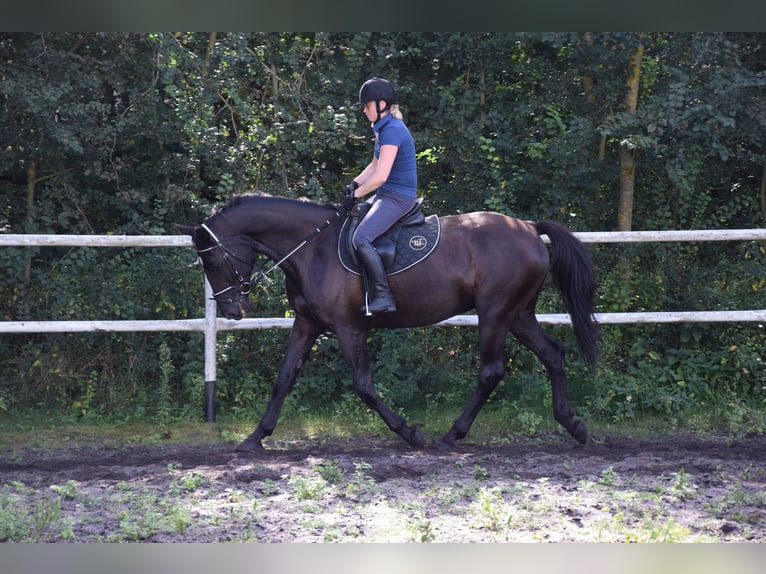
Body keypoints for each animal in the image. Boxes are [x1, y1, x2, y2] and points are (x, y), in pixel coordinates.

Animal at [174, 193, 598, 453]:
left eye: (212, 260)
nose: (233, 310)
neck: (312, 248)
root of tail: (527, 227)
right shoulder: (307, 324)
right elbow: (284, 379)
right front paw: (255, 437)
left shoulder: (349, 329)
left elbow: (364, 387)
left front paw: (410, 433)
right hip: (517, 314)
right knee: (553, 354)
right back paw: (573, 425)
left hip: (494, 313)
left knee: (491, 371)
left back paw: (451, 435)